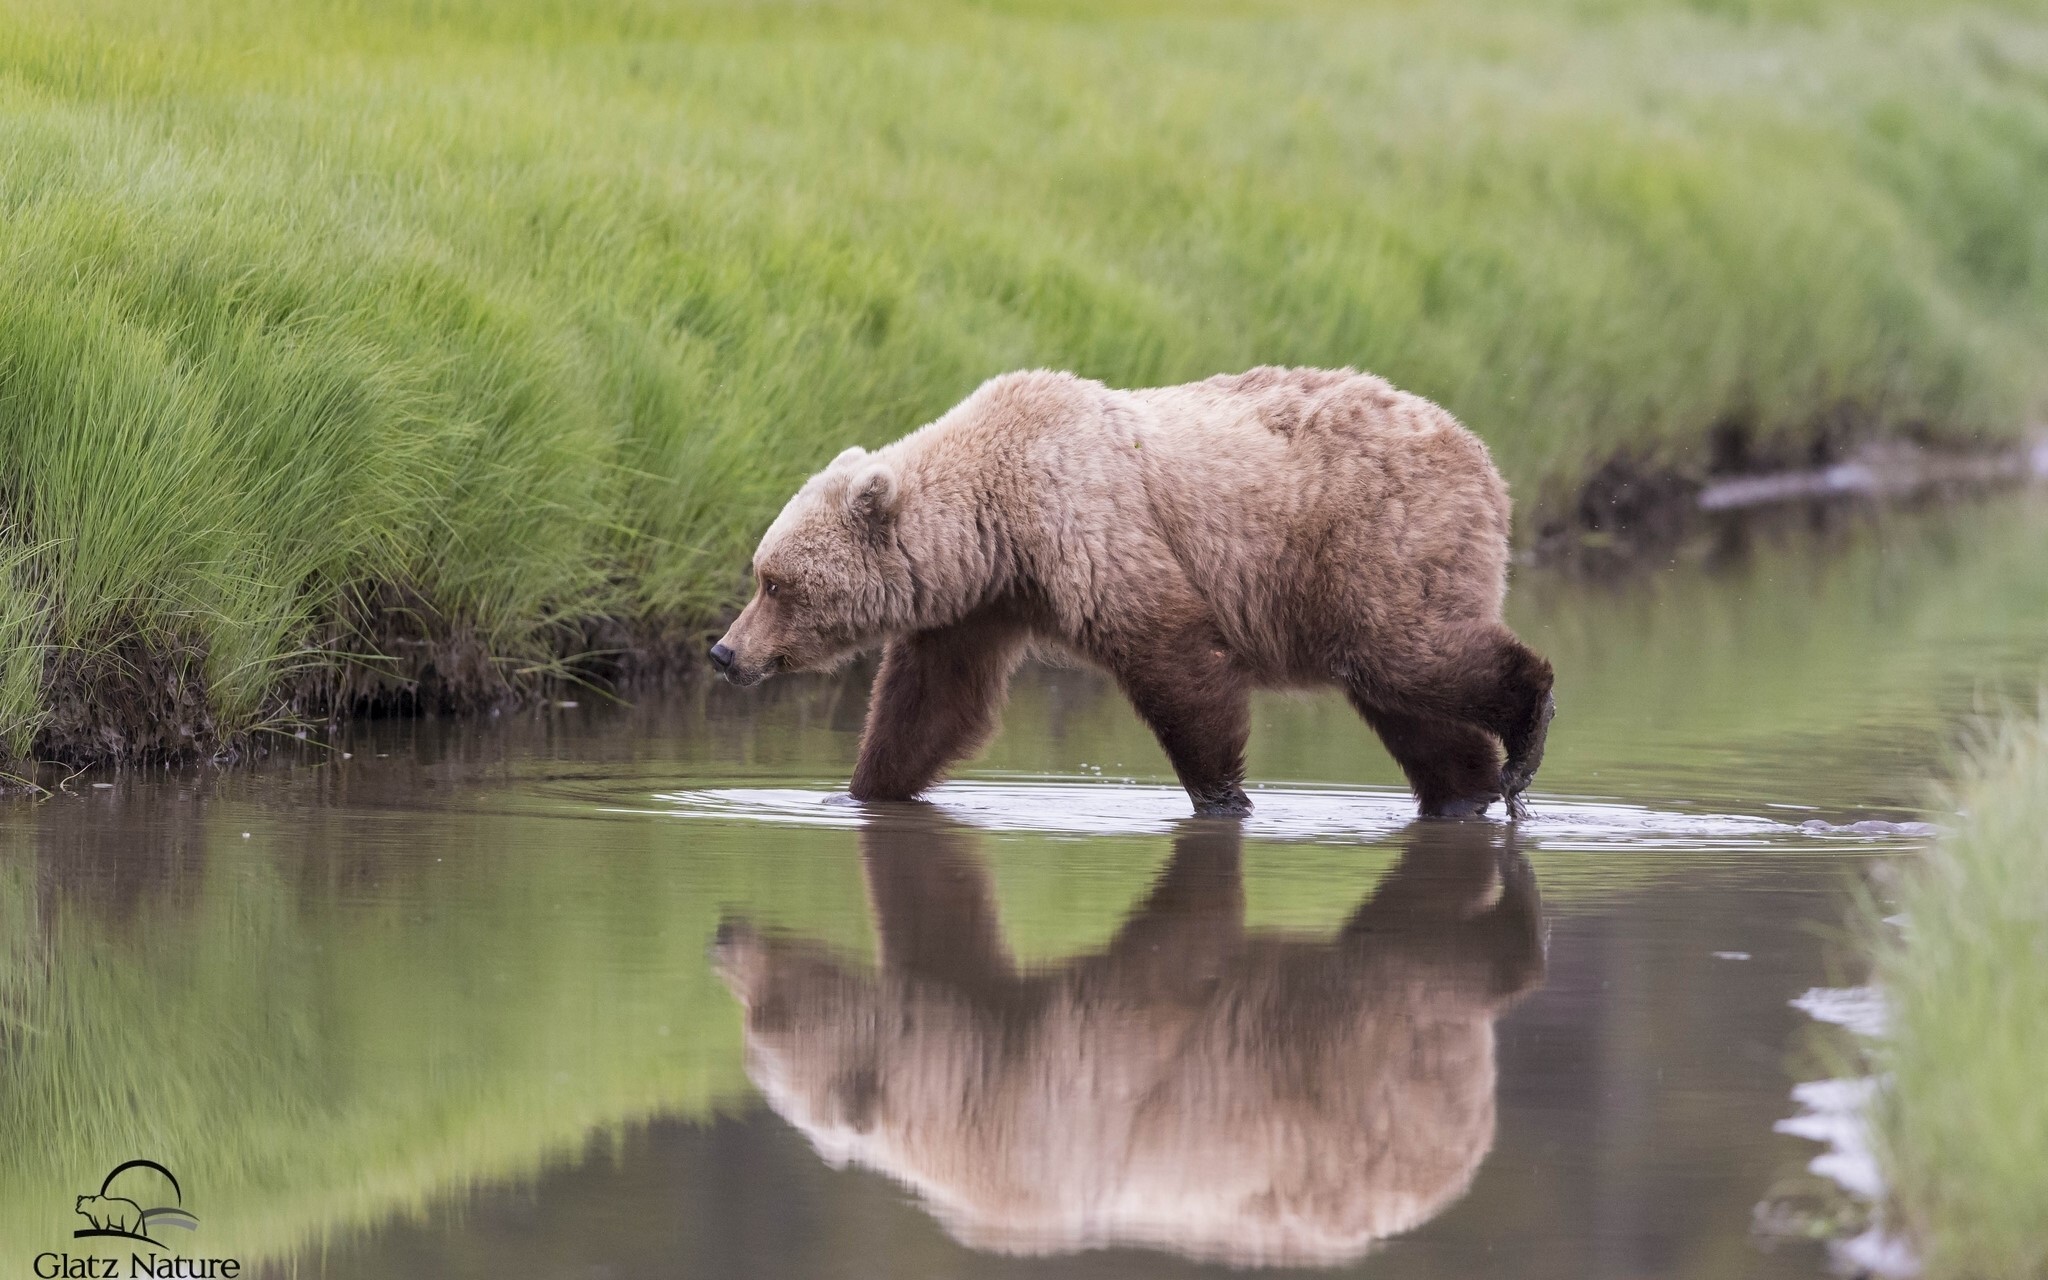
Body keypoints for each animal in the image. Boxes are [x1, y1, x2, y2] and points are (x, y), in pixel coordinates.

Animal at [710, 366, 1555, 818]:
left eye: (775, 582)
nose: (724, 652)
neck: (996, 521)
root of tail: (1482, 457)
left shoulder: (1094, 530)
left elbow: (1176, 661)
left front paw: (1221, 795)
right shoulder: (980, 605)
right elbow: (930, 705)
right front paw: (859, 791)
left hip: (1374, 545)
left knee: (1410, 654)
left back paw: (1526, 728)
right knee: (1405, 703)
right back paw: (1466, 789)